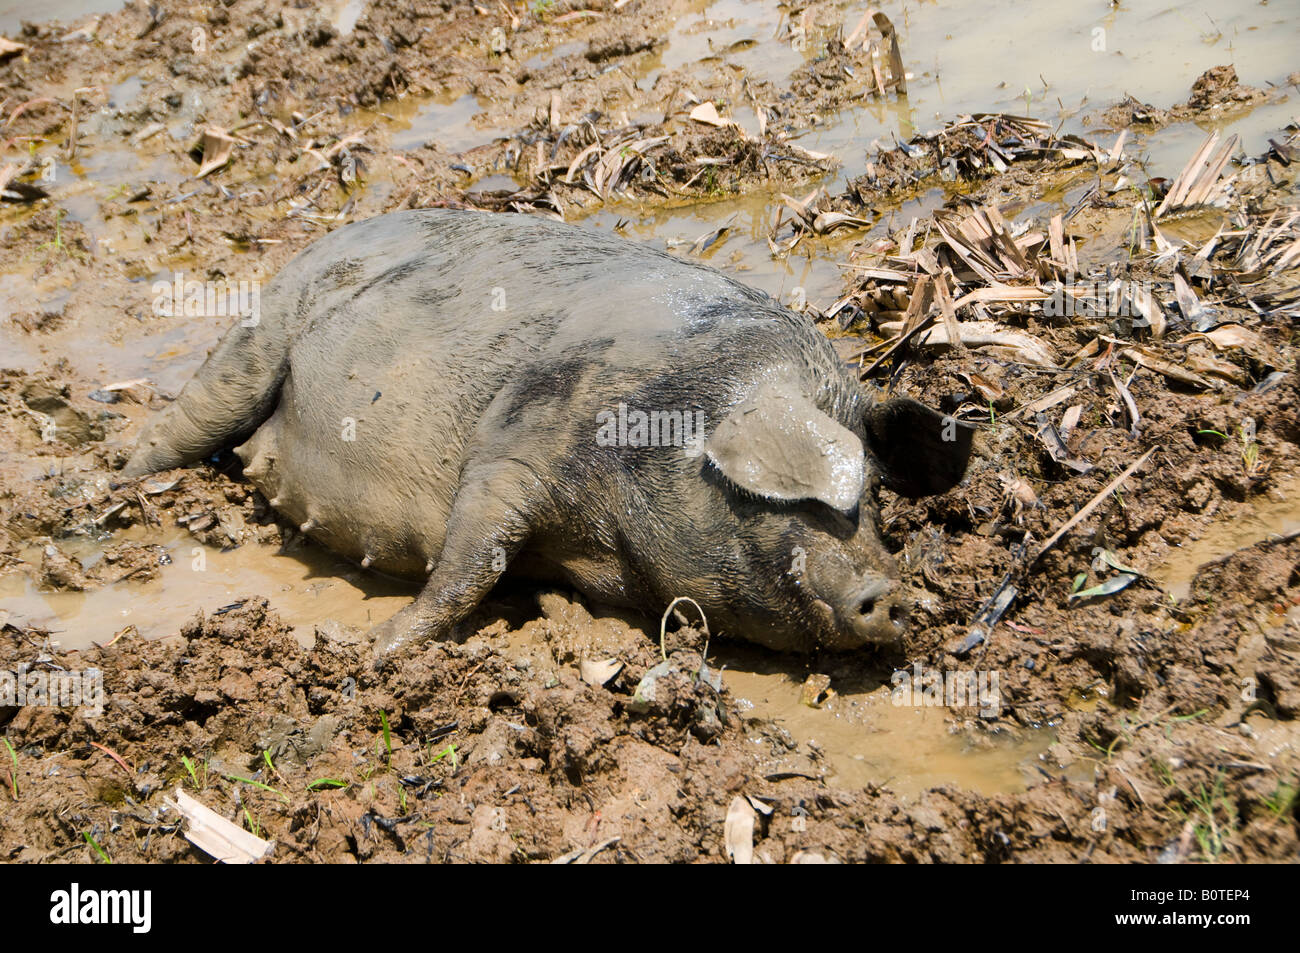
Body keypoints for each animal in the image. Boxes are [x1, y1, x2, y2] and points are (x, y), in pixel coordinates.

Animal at [124, 206, 977, 655]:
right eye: (818, 498)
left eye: (878, 498)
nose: (891, 592)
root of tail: (315, 244)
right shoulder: (514, 443)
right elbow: (469, 562)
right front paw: (370, 648)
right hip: (255, 340)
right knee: (180, 424)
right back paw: (110, 484)